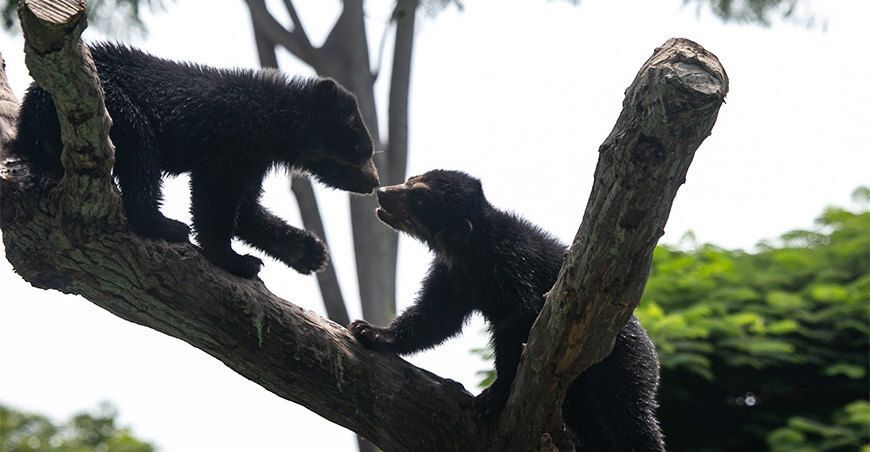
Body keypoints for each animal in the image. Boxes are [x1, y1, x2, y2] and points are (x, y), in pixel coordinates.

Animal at [11, 42, 379, 278]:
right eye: (361, 149)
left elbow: (246, 210)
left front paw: (310, 252)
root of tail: (30, 111)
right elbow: (213, 199)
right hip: (112, 103)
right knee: (140, 151)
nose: (374, 183)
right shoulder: (230, 141)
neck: (273, 127)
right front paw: (238, 261)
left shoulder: (253, 161)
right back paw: (166, 225)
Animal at [348, 170, 665, 451]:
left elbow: (521, 320)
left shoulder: (512, 266)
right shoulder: (451, 275)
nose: (382, 192)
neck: (471, 249)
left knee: (629, 417)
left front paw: (494, 394)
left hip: (623, 364)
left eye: (420, 198)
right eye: (412, 179)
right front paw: (371, 331)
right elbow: (435, 317)